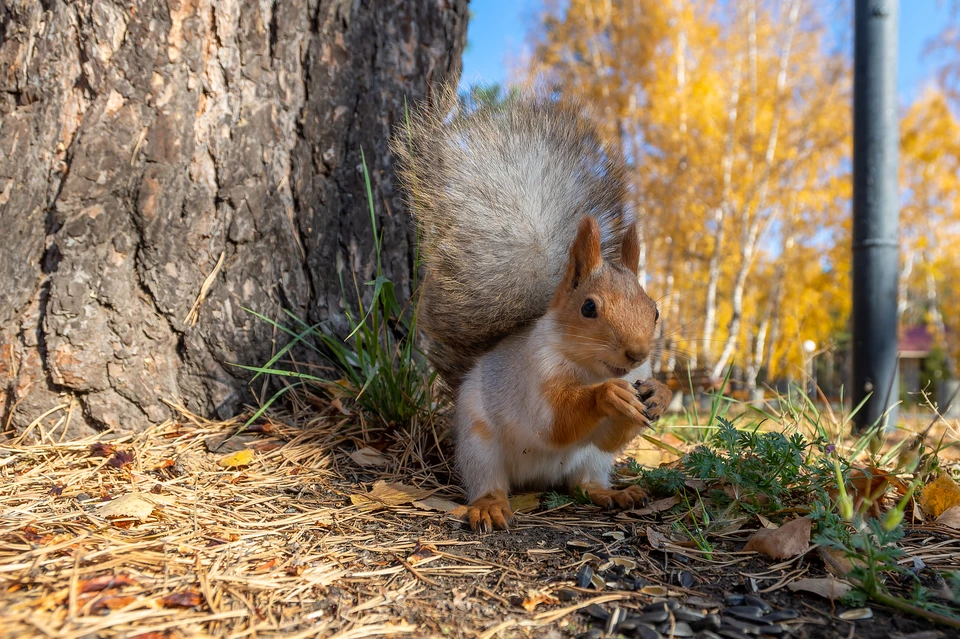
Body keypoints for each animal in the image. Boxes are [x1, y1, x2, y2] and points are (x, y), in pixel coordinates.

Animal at [394, 89, 672, 528]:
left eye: (655, 311)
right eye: (588, 308)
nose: (637, 353)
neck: (589, 368)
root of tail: (537, 479)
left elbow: (611, 436)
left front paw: (660, 393)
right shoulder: (533, 376)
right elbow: (553, 423)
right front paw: (608, 395)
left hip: (592, 461)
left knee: (584, 482)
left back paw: (615, 493)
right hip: (479, 447)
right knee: (489, 481)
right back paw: (490, 505)